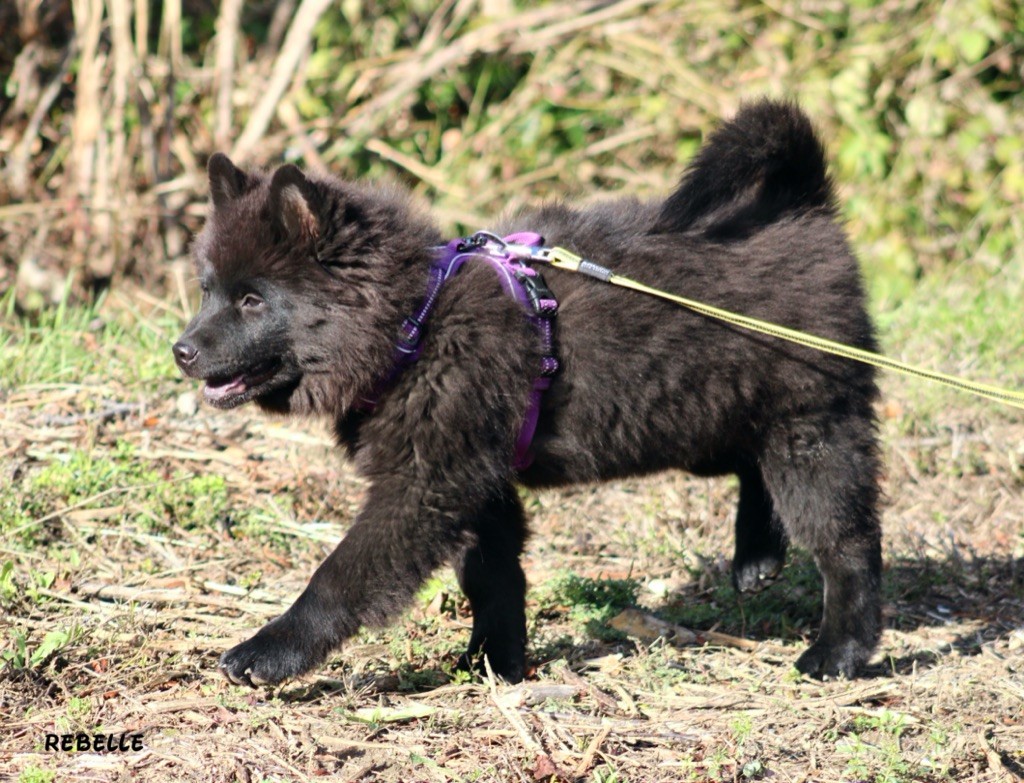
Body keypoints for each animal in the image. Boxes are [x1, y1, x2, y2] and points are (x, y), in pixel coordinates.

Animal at [174, 99, 880, 683]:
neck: (416, 327)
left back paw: (838, 651)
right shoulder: (477, 480)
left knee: (847, 543)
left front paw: (272, 650)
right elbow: (494, 578)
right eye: (207, 290)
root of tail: (806, 209)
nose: (181, 350)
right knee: (749, 465)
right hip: (700, 413)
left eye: (253, 300)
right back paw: (757, 555)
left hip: (807, 426)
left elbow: (341, 573)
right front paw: (496, 663)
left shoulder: (425, 484)